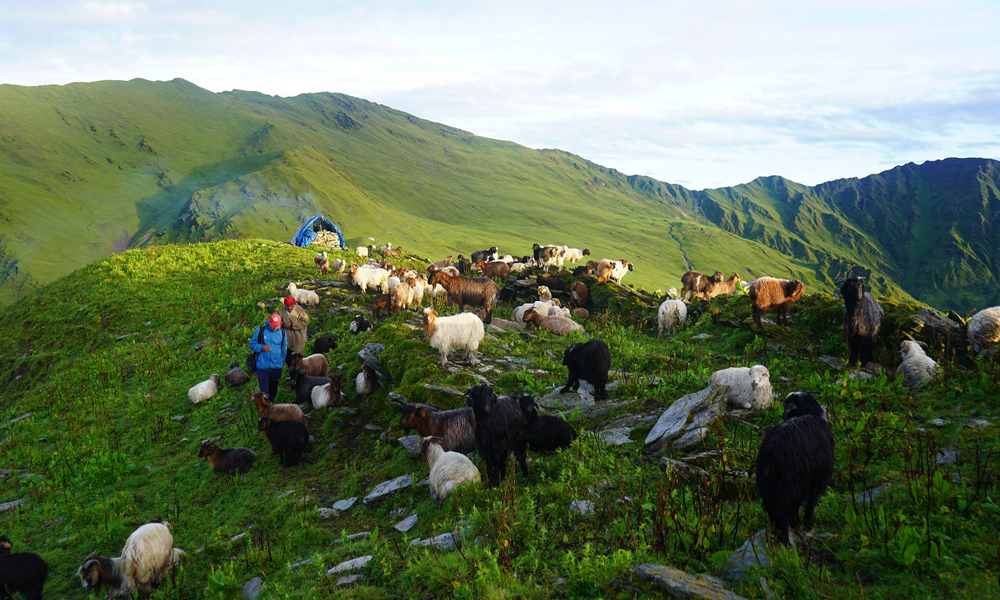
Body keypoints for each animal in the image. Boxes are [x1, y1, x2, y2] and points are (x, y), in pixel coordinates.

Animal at [756, 392, 836, 548]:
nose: (783, 415)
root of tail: (770, 459)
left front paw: (796, 524)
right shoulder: (817, 481)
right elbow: (811, 503)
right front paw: (807, 525)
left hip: (770, 490)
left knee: (775, 515)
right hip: (790, 488)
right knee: (782, 513)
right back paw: (785, 543)